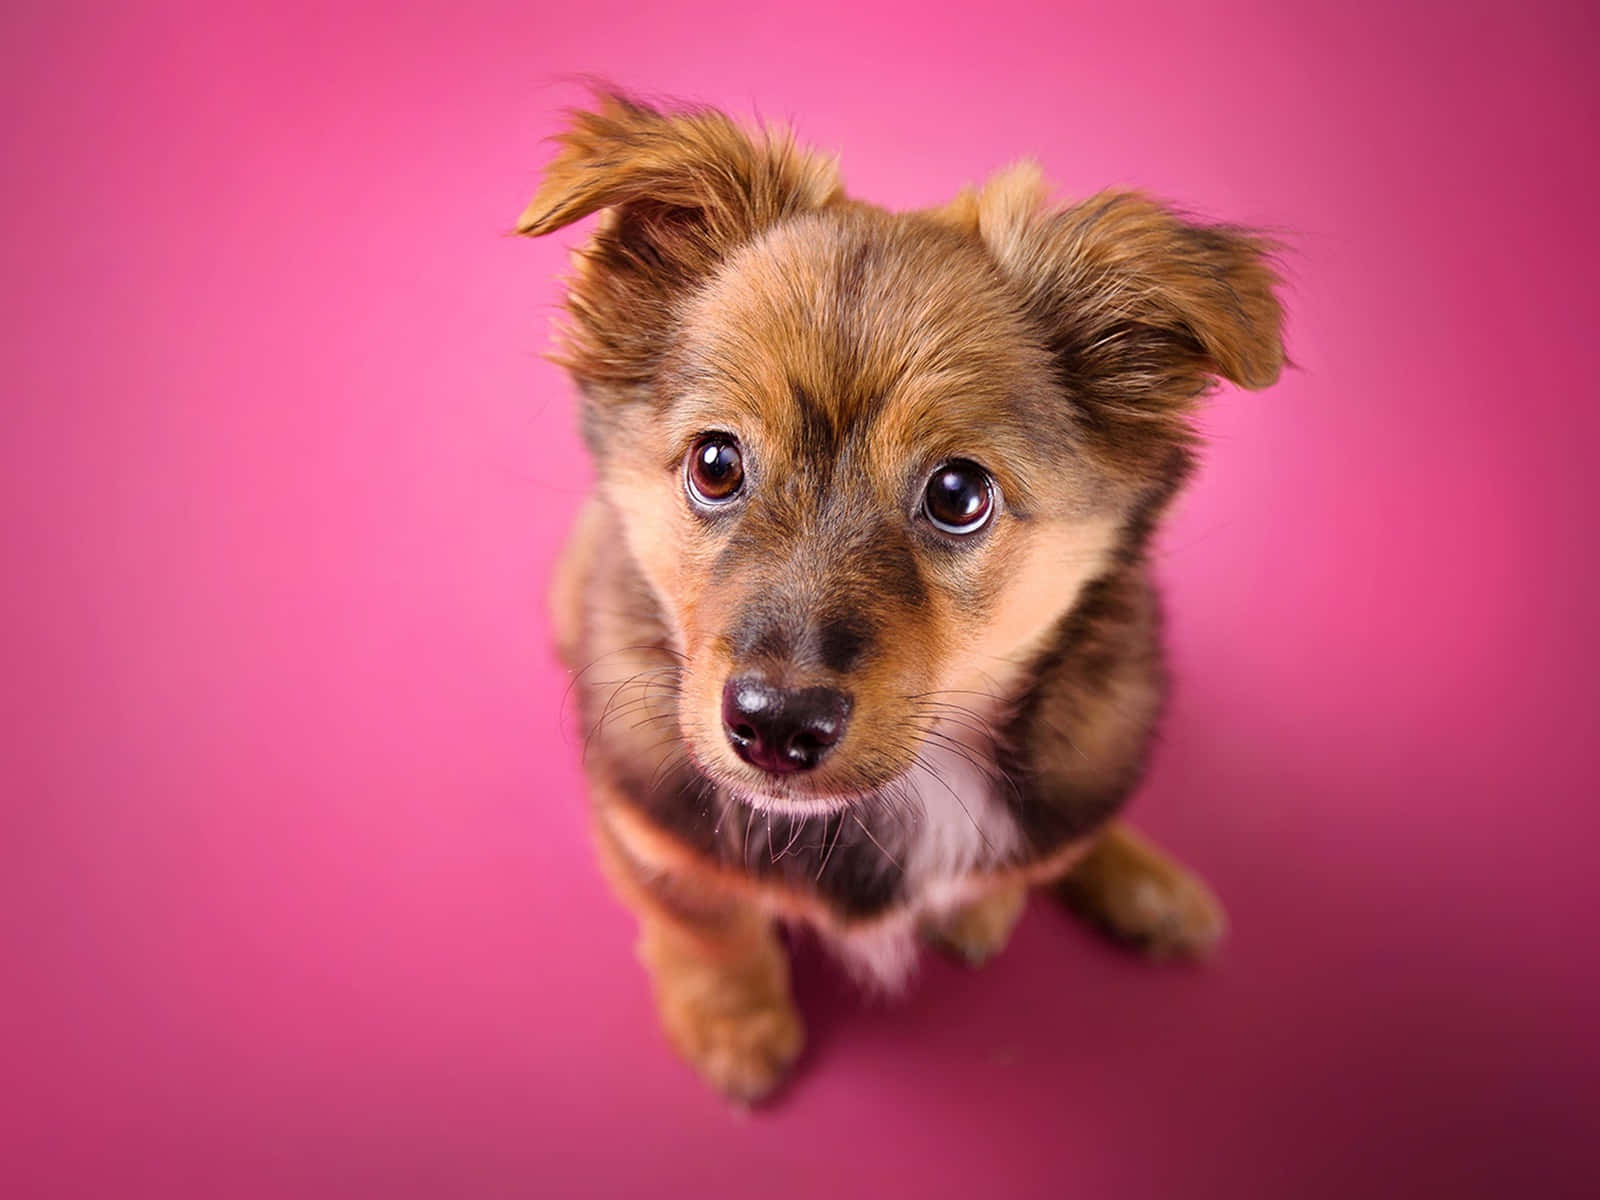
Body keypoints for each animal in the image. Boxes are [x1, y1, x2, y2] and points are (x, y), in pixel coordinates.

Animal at [515, 91, 1286, 1107]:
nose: (775, 725)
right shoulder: (647, 821)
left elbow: (1017, 864)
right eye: (715, 464)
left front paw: (981, 910)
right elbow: (706, 922)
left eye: (959, 494)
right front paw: (735, 1025)